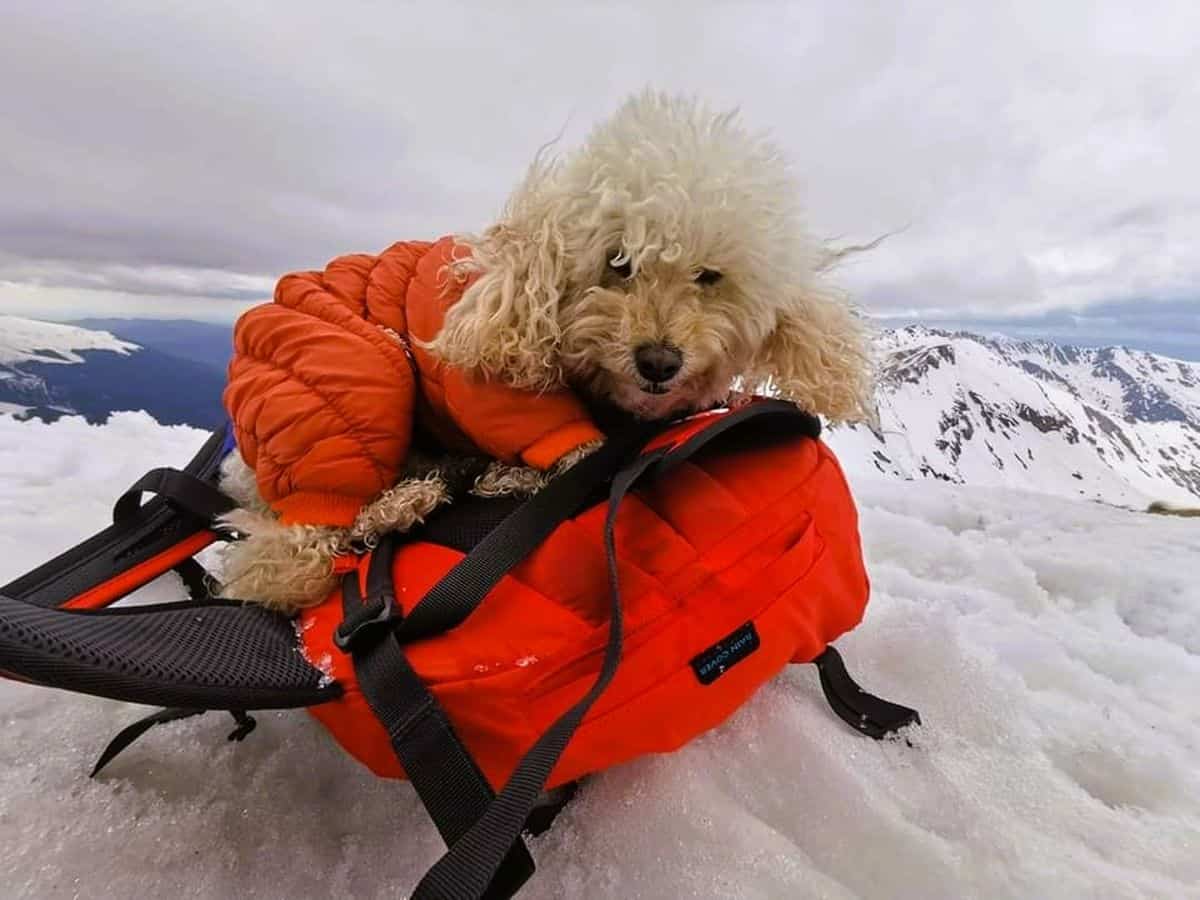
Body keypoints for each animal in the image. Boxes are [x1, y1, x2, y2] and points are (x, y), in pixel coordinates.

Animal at [213, 90, 873, 614]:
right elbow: (566, 440)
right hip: (356, 371)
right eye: (618, 262)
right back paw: (406, 504)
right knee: (287, 555)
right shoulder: (494, 388)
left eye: (709, 276)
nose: (659, 363)